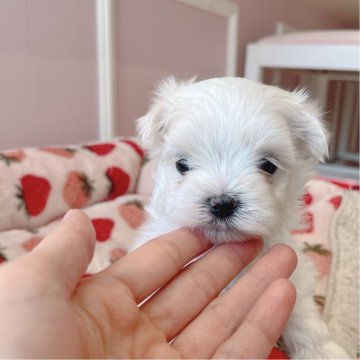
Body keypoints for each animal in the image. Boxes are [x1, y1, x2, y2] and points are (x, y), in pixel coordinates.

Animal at [132, 76, 348, 358]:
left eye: (268, 166)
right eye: (182, 165)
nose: (221, 203)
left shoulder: (295, 275)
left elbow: (302, 312)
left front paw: (322, 351)